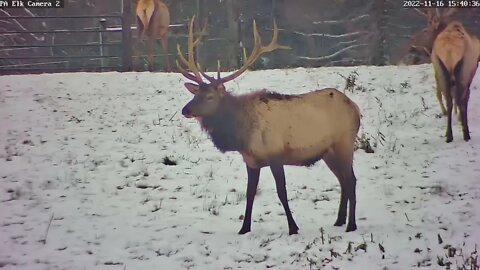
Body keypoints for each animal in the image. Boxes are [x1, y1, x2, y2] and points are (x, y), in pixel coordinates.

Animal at [176, 16, 360, 233]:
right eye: (195, 93)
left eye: (210, 97)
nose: (185, 110)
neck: (241, 135)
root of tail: (356, 108)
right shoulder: (251, 161)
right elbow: (250, 194)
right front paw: (244, 228)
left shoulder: (275, 155)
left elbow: (282, 192)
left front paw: (293, 227)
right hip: (328, 152)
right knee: (342, 180)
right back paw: (339, 220)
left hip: (345, 142)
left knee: (351, 180)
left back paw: (351, 225)